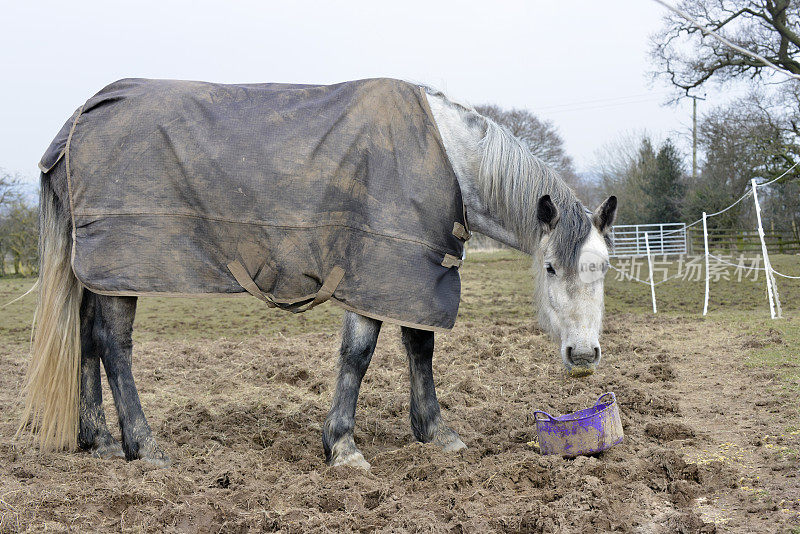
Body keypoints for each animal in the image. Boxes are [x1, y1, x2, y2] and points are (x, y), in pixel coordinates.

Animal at [18, 78, 620, 468]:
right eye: (550, 267)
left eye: (605, 268)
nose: (584, 355)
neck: (449, 157)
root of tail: (76, 124)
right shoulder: (375, 271)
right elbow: (358, 355)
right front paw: (344, 447)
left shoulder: (413, 273)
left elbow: (420, 349)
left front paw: (435, 433)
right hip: (123, 266)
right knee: (113, 345)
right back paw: (145, 448)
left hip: (97, 273)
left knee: (86, 341)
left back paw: (97, 439)